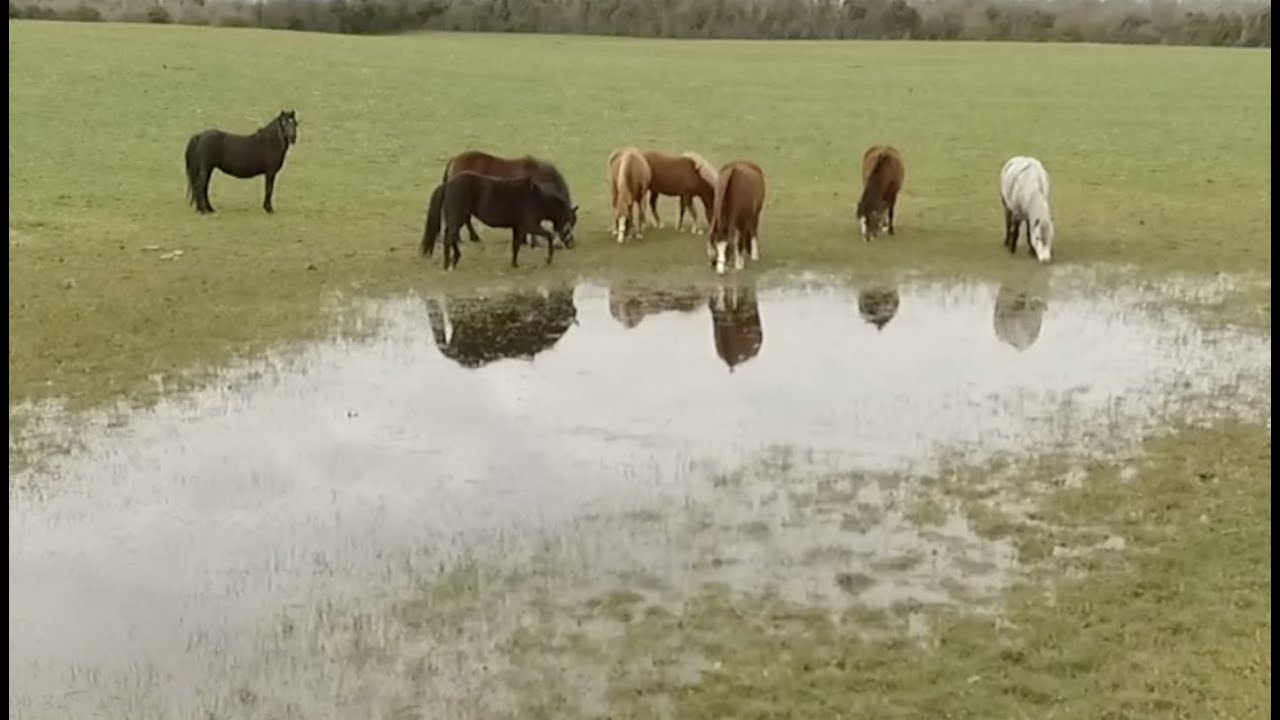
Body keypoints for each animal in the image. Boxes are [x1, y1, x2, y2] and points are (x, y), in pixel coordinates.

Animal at [420, 171, 577, 271]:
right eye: (571, 222)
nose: (571, 244)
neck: (537, 199)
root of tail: (448, 184)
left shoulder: (518, 227)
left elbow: (516, 245)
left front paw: (514, 264)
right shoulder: (530, 225)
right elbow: (549, 235)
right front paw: (548, 260)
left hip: (459, 219)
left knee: (451, 236)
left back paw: (456, 258)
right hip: (458, 218)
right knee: (449, 238)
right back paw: (448, 264)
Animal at [441, 150, 577, 247]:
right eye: (570, 221)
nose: (571, 244)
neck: (539, 177)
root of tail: (455, 159)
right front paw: (533, 243)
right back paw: (469, 238)